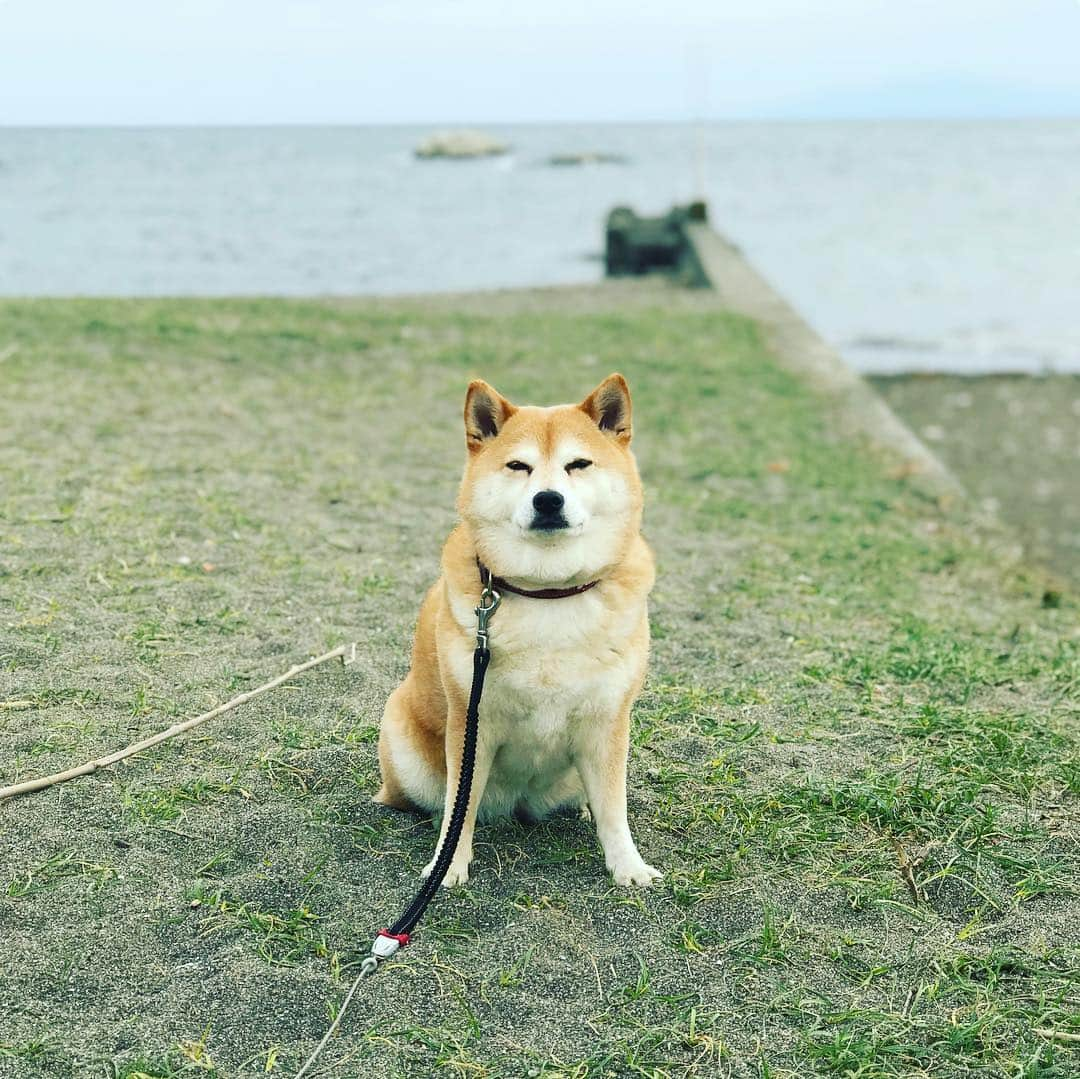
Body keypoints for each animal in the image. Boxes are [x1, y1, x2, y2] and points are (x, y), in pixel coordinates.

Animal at [375, 375, 660, 889]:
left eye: (578, 464)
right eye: (518, 466)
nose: (548, 499)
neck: (548, 593)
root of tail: (517, 805)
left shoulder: (608, 721)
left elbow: (614, 809)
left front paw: (627, 866)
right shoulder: (472, 722)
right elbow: (460, 806)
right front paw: (448, 866)